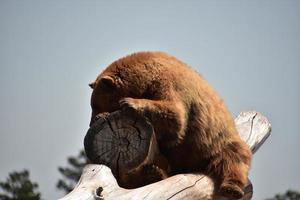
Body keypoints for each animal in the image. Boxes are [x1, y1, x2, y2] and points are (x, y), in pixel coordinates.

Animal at [88, 52, 251, 200]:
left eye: (95, 104)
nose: (92, 120)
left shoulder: (169, 84)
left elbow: (174, 115)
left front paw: (129, 102)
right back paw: (154, 174)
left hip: (217, 143)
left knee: (233, 159)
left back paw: (232, 189)